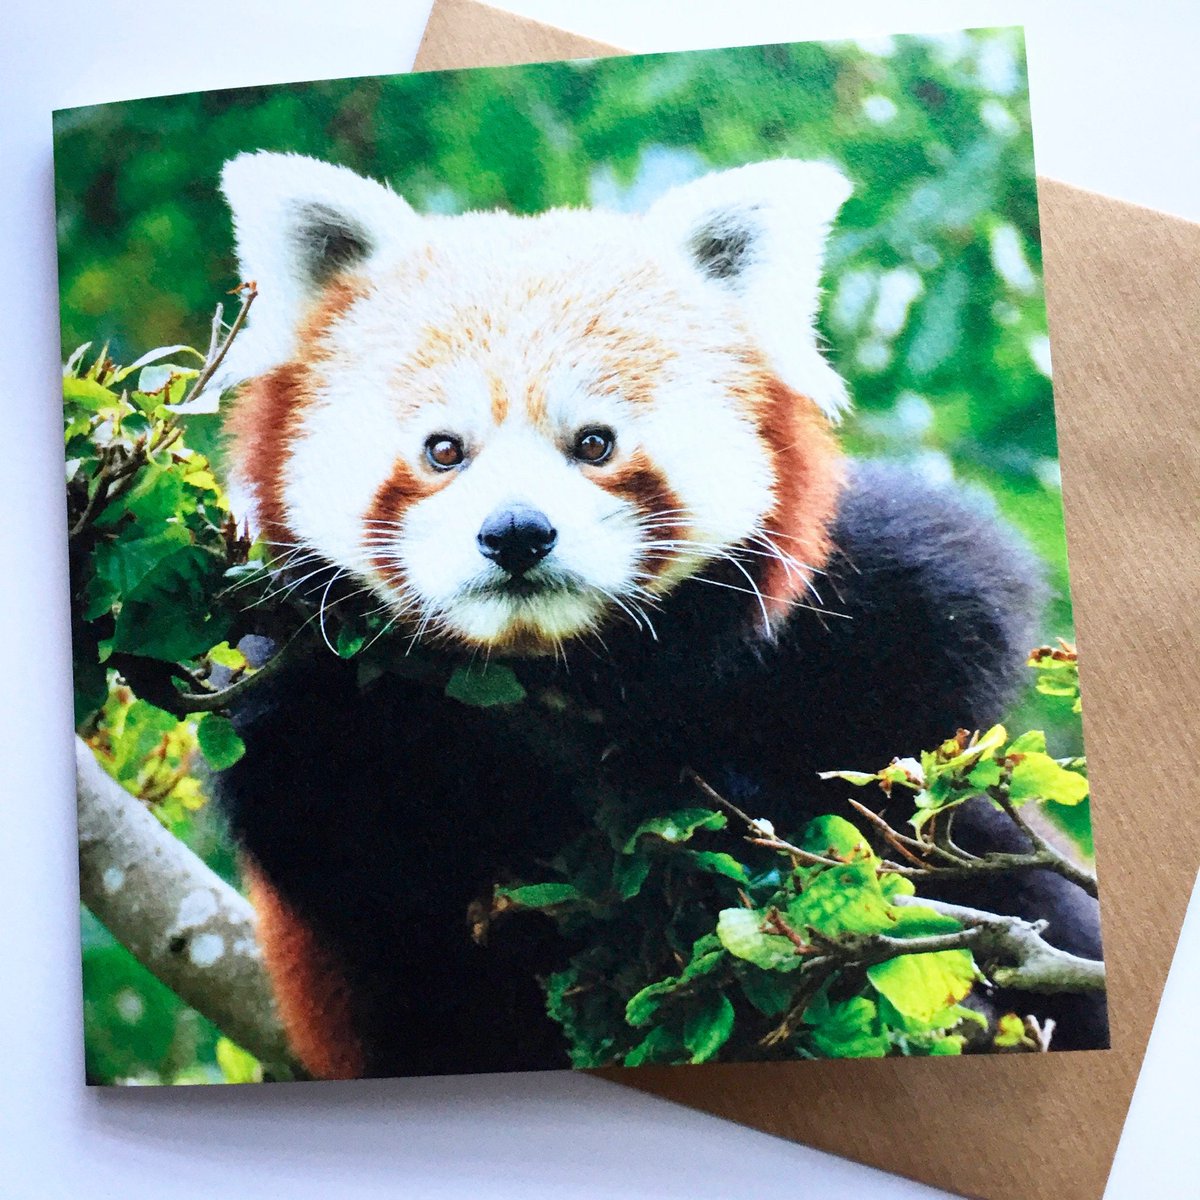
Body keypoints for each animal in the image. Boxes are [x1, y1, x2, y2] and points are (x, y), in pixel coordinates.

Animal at [214, 152, 1106, 1079]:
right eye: (444, 451)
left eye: (594, 443)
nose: (517, 532)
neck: (558, 665)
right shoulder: (289, 684)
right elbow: (341, 838)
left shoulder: (867, 582)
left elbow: (946, 663)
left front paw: (724, 787)